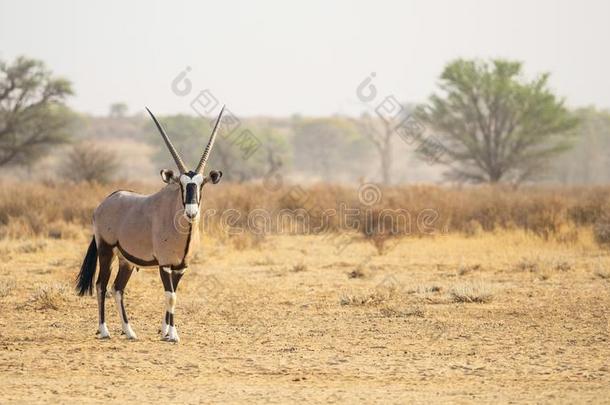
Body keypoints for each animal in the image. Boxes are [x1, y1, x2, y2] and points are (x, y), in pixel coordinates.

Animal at [76, 105, 223, 340]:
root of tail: (104, 203)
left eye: (201, 185)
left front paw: (167, 331)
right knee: (101, 285)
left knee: (117, 288)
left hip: (125, 260)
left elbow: (173, 295)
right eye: (181, 185)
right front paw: (171, 335)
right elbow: (170, 296)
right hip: (106, 250)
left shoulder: (180, 267)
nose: (191, 212)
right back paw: (104, 330)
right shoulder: (164, 264)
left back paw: (129, 331)